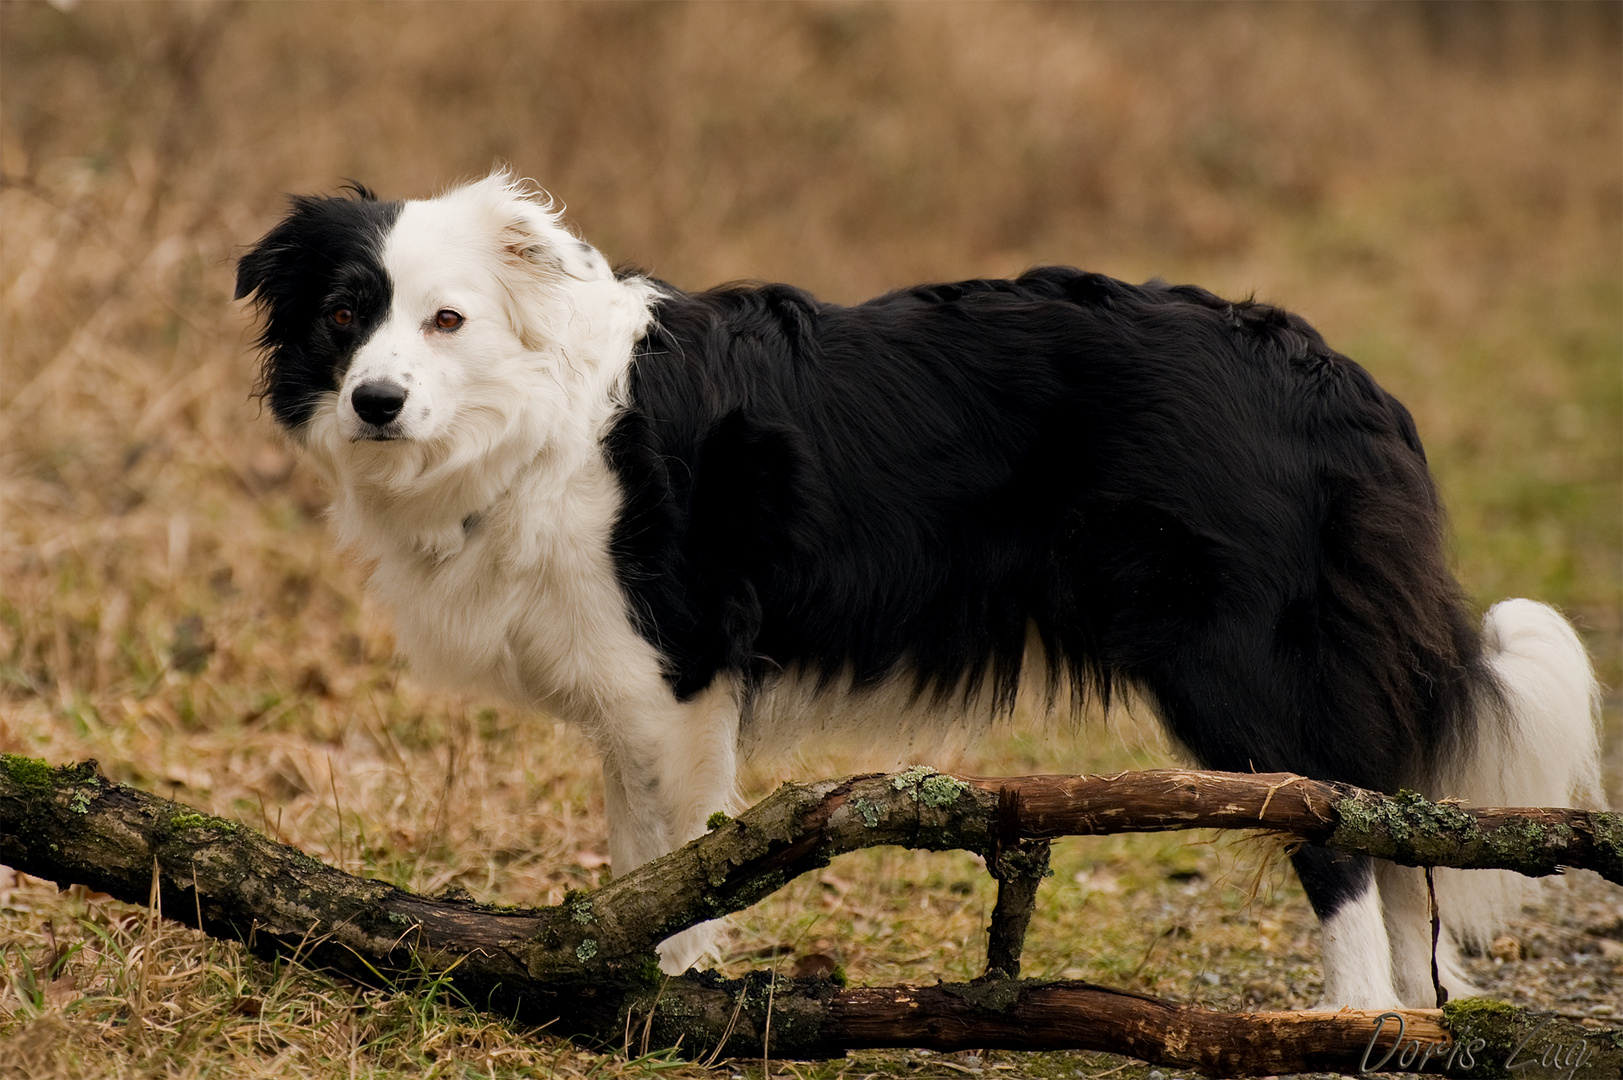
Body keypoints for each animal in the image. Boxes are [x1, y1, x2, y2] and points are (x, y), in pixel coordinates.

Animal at [235, 172, 1603, 1006]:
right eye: (348, 315)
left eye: (447, 320)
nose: (376, 403)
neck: (537, 423)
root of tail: (1325, 371)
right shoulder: (635, 696)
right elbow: (637, 857)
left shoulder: (675, 674)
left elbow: (679, 858)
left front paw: (668, 988)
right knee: (1394, 831)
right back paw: (1421, 1015)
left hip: (1236, 667)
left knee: (1337, 833)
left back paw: (1351, 1018)